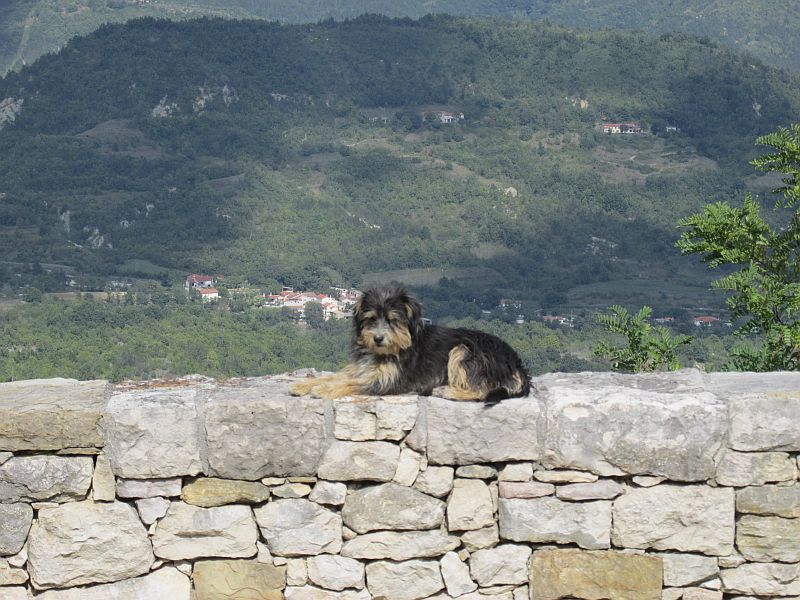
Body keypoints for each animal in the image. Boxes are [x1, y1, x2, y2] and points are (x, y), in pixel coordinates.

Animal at [290, 284, 532, 400]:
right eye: (371, 319)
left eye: (393, 320)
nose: (378, 338)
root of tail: (516, 363)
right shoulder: (361, 369)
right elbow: (336, 376)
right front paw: (305, 384)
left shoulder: (388, 381)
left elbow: (351, 384)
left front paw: (323, 390)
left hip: (463, 351)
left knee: (482, 390)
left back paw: (448, 392)